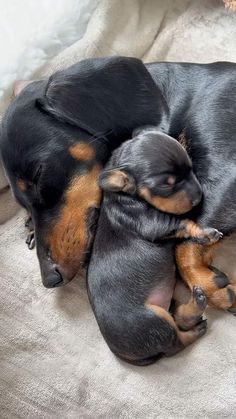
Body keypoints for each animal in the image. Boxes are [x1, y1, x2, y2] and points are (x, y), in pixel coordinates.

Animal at [1, 56, 236, 312]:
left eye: (38, 175)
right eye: (22, 205)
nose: (50, 278)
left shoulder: (225, 175)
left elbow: (184, 246)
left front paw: (210, 285)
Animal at [86, 130, 221, 366]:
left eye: (191, 167)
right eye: (167, 185)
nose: (198, 197)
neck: (125, 196)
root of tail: (122, 353)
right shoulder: (154, 223)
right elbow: (185, 222)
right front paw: (206, 234)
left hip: (166, 308)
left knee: (179, 319)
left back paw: (197, 303)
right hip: (154, 322)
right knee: (176, 343)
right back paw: (197, 327)